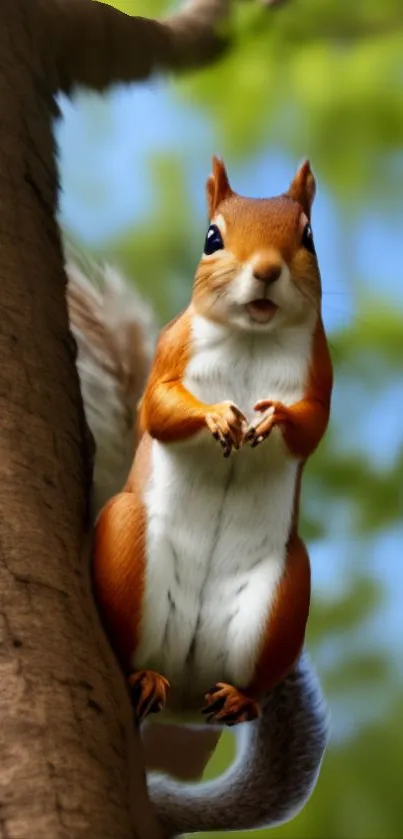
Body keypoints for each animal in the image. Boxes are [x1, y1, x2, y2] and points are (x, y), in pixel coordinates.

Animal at [68, 159, 332, 839]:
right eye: (212, 238)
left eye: (308, 237)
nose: (264, 271)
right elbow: (165, 405)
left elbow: (304, 423)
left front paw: (266, 420)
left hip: (278, 592)